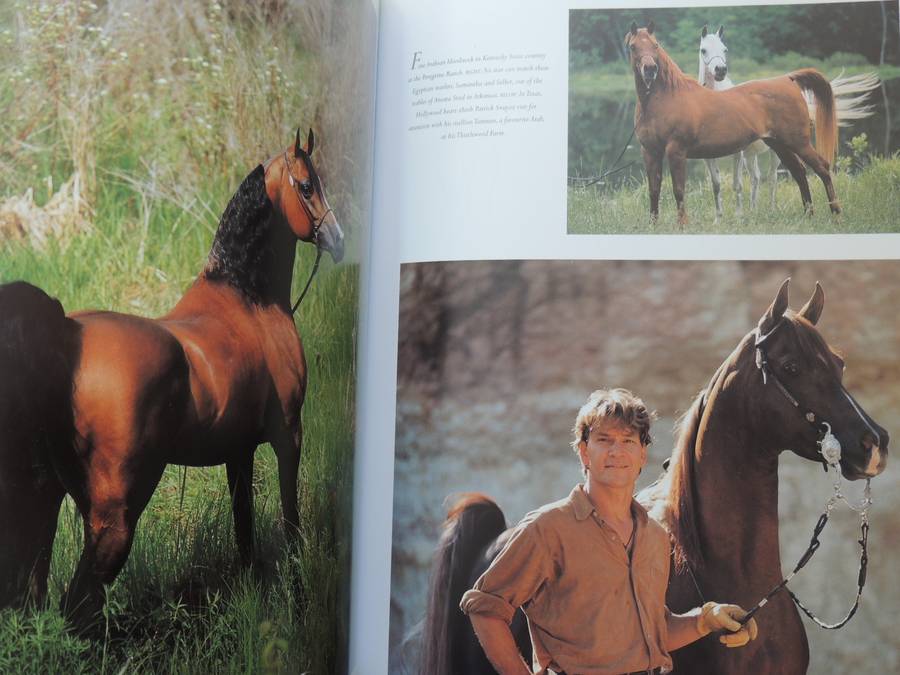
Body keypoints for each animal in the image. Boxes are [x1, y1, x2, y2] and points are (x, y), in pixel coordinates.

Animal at [0, 128, 344, 627]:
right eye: (306, 185)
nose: (337, 240)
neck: (249, 299)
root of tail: (68, 334)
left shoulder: (238, 451)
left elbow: (244, 533)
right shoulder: (288, 436)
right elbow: (290, 521)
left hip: (48, 500)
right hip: (115, 515)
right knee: (78, 603)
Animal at [626, 22, 841, 226]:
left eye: (655, 45)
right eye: (633, 46)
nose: (650, 70)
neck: (667, 97)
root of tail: (788, 79)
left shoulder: (676, 151)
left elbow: (678, 190)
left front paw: (682, 225)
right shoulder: (650, 152)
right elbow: (654, 190)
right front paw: (653, 224)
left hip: (798, 143)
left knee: (822, 168)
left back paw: (836, 213)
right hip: (779, 144)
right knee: (799, 172)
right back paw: (808, 214)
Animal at [698, 24, 879, 220]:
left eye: (725, 49)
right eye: (703, 50)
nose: (720, 70)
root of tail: (788, 79)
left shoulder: (737, 153)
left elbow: (736, 183)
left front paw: (739, 216)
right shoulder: (710, 156)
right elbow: (716, 185)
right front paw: (719, 218)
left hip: (781, 150)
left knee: (778, 177)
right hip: (770, 149)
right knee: (780, 174)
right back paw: (795, 212)